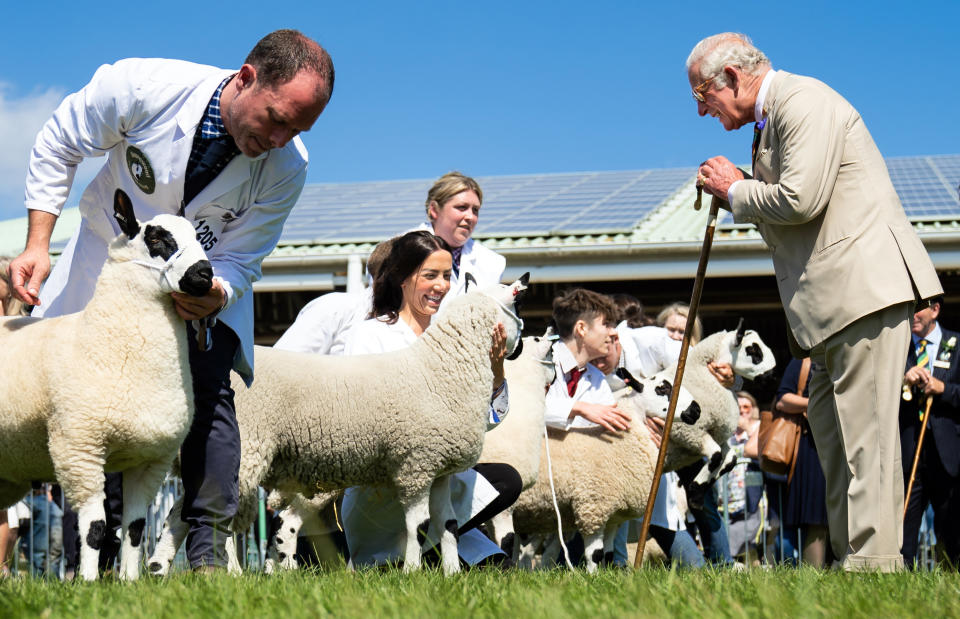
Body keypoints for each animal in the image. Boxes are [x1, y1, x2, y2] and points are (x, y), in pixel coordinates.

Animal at [0, 189, 211, 580]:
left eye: (197, 235)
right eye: (157, 238)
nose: (204, 274)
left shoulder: (150, 459)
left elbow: (135, 528)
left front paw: (129, 581)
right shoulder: (79, 449)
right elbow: (96, 528)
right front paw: (87, 580)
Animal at [146, 276, 528, 576]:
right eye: (518, 310)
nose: (521, 346)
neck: (442, 366)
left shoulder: (439, 469)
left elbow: (447, 525)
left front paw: (450, 575)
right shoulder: (415, 464)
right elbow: (418, 526)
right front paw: (412, 571)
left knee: (180, 513)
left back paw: (159, 568)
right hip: (245, 449)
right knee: (211, 510)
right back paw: (228, 573)